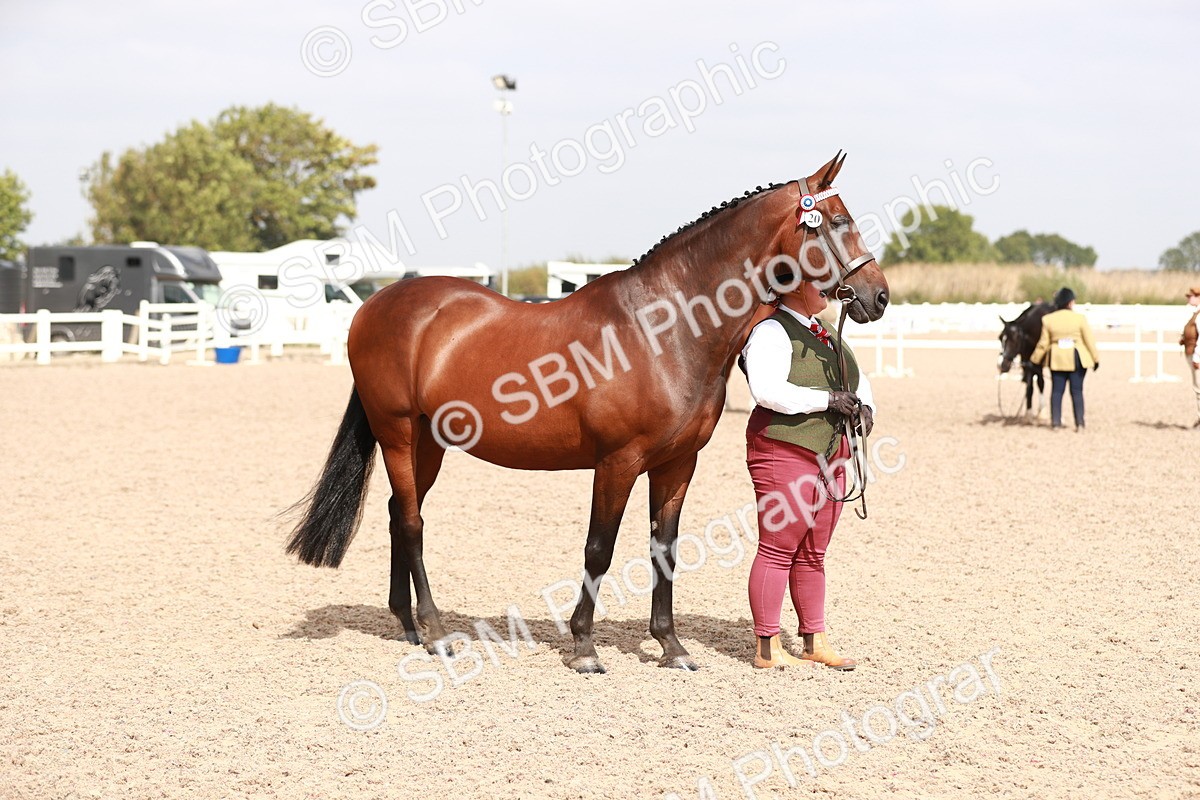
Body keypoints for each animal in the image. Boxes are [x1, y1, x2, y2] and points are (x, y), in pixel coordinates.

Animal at [285, 153, 890, 674]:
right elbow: (599, 549)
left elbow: (664, 549)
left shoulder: (677, 464)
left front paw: (671, 647)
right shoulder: (617, 462)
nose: (878, 296)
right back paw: (435, 632)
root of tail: (374, 305)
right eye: (837, 221)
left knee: (396, 513)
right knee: (411, 523)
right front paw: (583, 647)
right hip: (399, 434)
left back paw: (407, 625)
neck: (663, 329)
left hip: (430, 443)